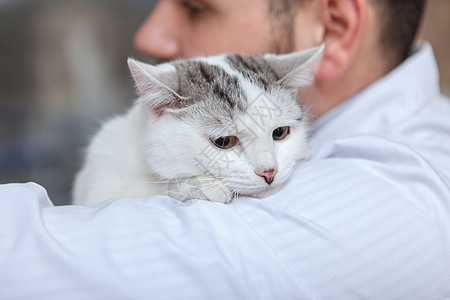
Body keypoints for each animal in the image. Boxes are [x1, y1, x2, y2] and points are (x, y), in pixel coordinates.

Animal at [73, 44, 324, 205]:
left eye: (280, 132)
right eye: (224, 141)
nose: (269, 172)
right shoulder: (100, 181)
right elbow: (153, 187)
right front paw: (204, 185)